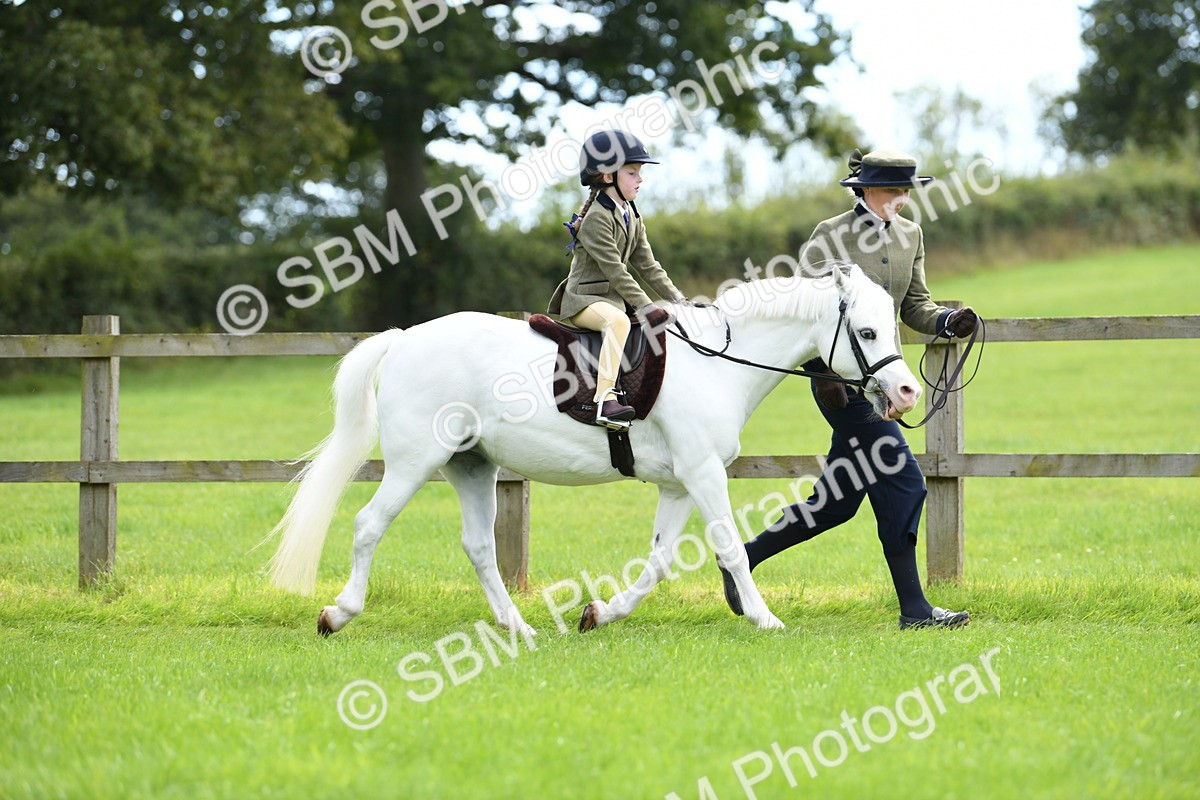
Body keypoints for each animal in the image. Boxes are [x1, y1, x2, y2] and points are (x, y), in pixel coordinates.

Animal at [267, 264, 921, 636]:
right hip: (413, 463)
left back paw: (518, 628)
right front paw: (764, 618)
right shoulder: (704, 474)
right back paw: (337, 614)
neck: (715, 362)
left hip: (472, 466)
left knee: (479, 547)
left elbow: (658, 561)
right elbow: (732, 548)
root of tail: (404, 340)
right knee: (368, 525)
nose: (907, 392)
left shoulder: (679, 484)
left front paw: (600, 613)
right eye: (865, 333)